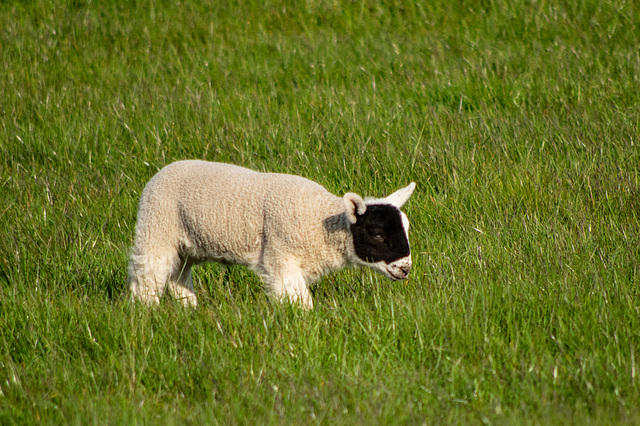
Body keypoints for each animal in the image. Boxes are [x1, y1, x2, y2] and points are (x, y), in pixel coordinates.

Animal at [128, 158, 418, 308]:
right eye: (377, 233)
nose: (405, 269)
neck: (319, 219)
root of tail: (164, 169)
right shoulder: (281, 259)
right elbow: (299, 302)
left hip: (185, 245)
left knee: (178, 274)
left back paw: (188, 308)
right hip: (156, 228)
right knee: (148, 275)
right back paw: (144, 311)